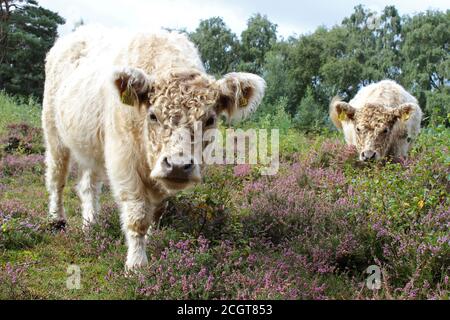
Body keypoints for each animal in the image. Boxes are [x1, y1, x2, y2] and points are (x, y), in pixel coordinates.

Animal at [42, 26, 266, 268]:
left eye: (210, 120)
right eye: (153, 116)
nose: (178, 165)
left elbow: (156, 211)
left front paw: (151, 240)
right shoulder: (123, 160)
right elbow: (138, 215)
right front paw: (136, 264)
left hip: (90, 147)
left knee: (88, 186)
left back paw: (90, 224)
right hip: (53, 134)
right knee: (56, 178)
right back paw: (57, 219)